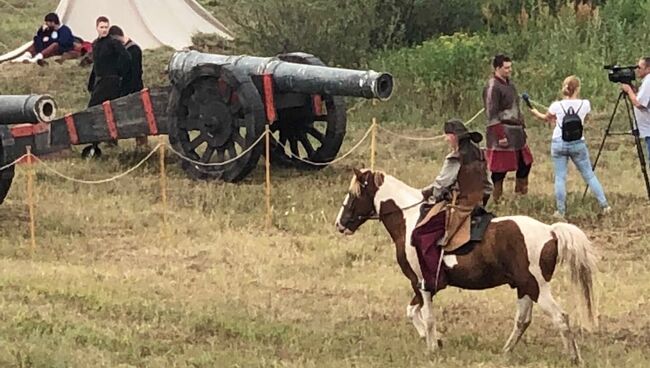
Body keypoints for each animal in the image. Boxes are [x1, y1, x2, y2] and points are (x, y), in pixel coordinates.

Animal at [336, 169, 596, 362]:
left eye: (353, 193)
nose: (340, 223)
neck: (409, 221)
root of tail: (550, 231)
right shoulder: (422, 285)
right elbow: (412, 312)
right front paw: (435, 340)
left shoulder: (422, 282)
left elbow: (427, 317)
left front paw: (432, 347)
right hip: (524, 286)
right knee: (523, 320)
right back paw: (505, 352)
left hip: (537, 286)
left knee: (560, 317)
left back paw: (574, 357)